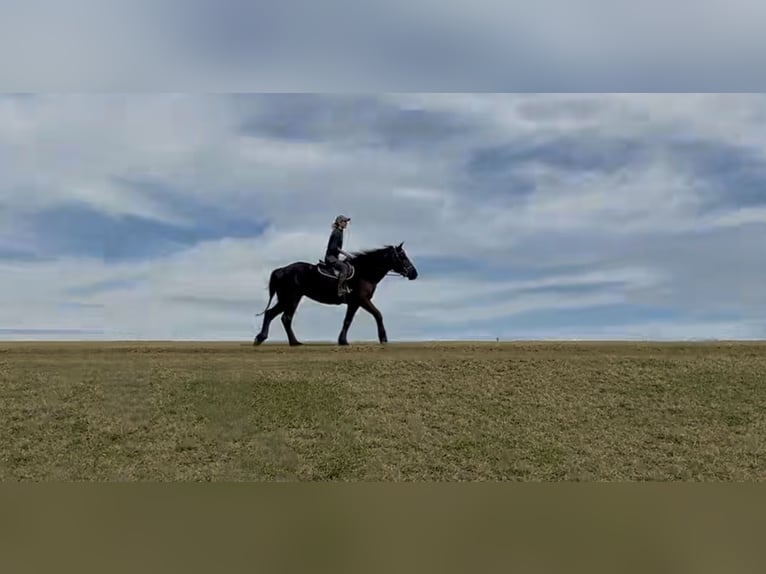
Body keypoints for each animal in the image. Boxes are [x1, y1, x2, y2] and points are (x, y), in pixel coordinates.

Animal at [254, 242, 418, 346]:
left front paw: (343, 341)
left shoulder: (354, 303)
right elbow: (378, 314)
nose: (414, 273)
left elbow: (347, 321)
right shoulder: (362, 300)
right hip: (291, 298)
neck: (364, 272)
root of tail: (282, 270)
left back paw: (262, 338)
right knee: (285, 318)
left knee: (272, 314)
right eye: (402, 256)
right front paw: (383, 338)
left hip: (286, 299)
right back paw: (293, 342)